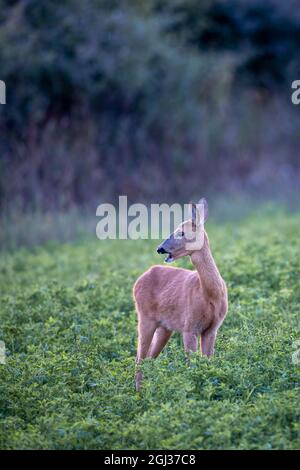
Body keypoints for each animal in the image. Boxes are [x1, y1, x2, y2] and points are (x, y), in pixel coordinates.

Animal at [134, 197, 227, 390]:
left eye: (182, 232)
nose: (160, 248)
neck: (210, 295)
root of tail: (139, 280)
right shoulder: (189, 326)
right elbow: (192, 363)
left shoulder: (212, 329)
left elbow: (208, 360)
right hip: (145, 318)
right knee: (139, 358)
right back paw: (138, 393)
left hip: (165, 327)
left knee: (149, 358)